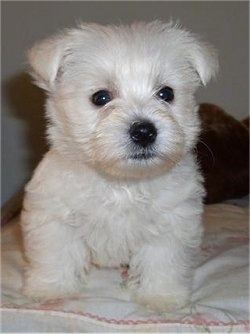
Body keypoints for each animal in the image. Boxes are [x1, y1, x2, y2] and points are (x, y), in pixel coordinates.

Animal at [20, 20, 218, 312]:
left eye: (166, 93)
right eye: (100, 97)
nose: (144, 131)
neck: (122, 182)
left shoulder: (173, 221)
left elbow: (164, 261)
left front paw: (162, 298)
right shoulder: (55, 215)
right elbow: (56, 254)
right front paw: (51, 290)